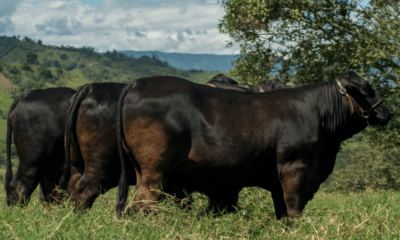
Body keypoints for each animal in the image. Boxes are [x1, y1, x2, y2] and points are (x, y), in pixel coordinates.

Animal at [116, 71, 394, 219]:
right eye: (367, 88)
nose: (388, 112)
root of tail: (138, 82)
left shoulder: (278, 180)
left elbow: (282, 212)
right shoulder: (295, 168)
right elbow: (294, 208)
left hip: (144, 171)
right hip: (154, 172)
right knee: (144, 205)